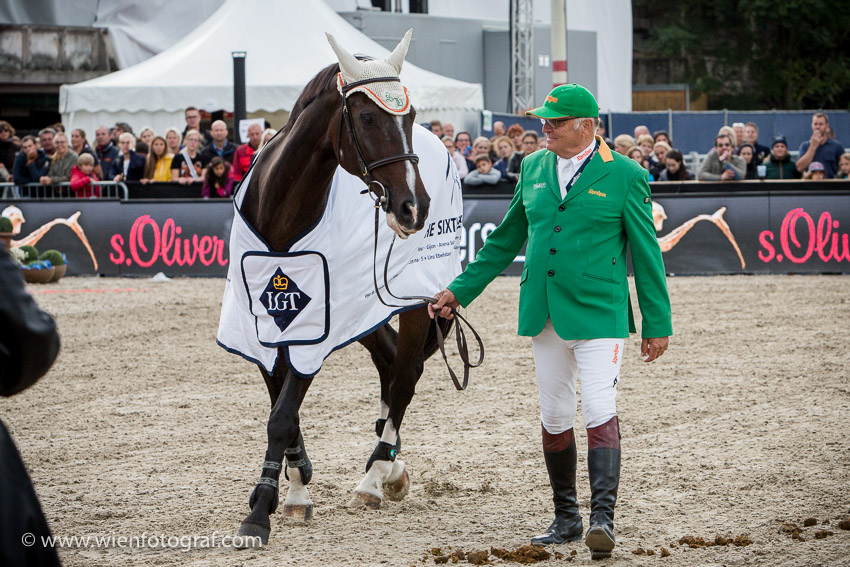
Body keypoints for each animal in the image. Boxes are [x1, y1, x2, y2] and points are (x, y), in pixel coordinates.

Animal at [234, 31, 450, 544]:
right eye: (368, 117)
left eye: (411, 115)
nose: (415, 207)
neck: (281, 217)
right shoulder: (267, 322)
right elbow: (282, 407)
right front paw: (295, 486)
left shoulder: (315, 325)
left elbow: (282, 414)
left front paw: (263, 509)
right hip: (366, 310)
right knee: (389, 363)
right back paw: (390, 467)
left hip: (414, 301)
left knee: (405, 376)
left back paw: (376, 476)